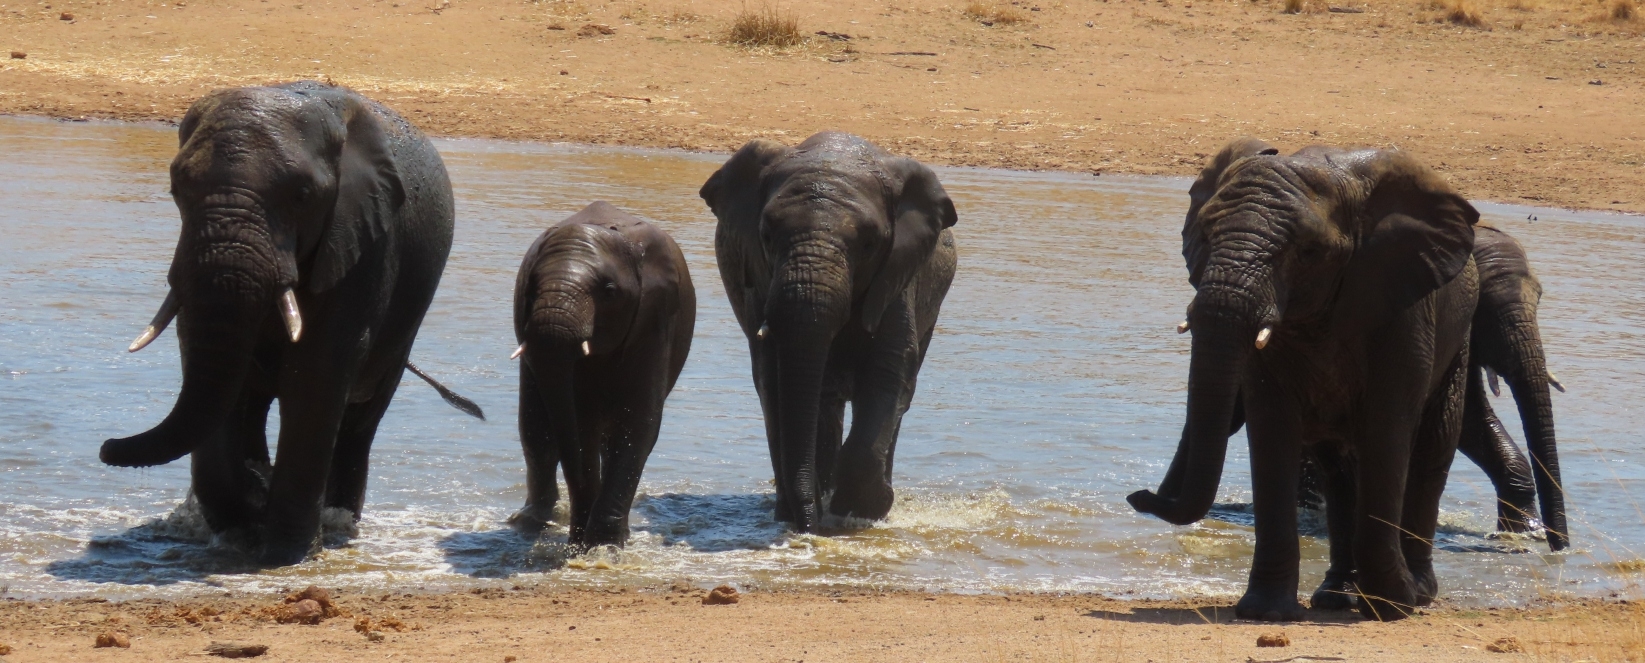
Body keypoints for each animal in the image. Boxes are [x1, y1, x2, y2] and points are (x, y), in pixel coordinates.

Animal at [100, 81, 469, 566]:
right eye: (177, 187)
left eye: (303, 195)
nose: (106, 446)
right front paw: (244, 521)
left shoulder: (363, 240)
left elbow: (317, 372)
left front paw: (285, 553)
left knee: (359, 422)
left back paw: (337, 522)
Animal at [506, 201, 696, 547]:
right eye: (531, 287)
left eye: (608, 292)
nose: (578, 534)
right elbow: (581, 425)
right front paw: (585, 543)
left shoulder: (656, 317)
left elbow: (638, 422)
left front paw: (603, 546)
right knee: (535, 427)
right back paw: (531, 522)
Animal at [699, 132, 958, 533]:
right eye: (766, 236)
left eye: (869, 244)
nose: (809, 528)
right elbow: (775, 382)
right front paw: (806, 514)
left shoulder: (897, 278)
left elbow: (887, 373)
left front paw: (862, 512)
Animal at [1127, 138, 1481, 621]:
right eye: (1204, 235)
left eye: (1308, 252)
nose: (1137, 495)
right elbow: (1272, 428)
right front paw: (1265, 611)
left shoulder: (1403, 310)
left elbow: (1387, 429)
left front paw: (1392, 606)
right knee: (1338, 472)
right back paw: (1335, 595)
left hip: (1458, 342)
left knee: (1430, 453)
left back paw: (1418, 593)